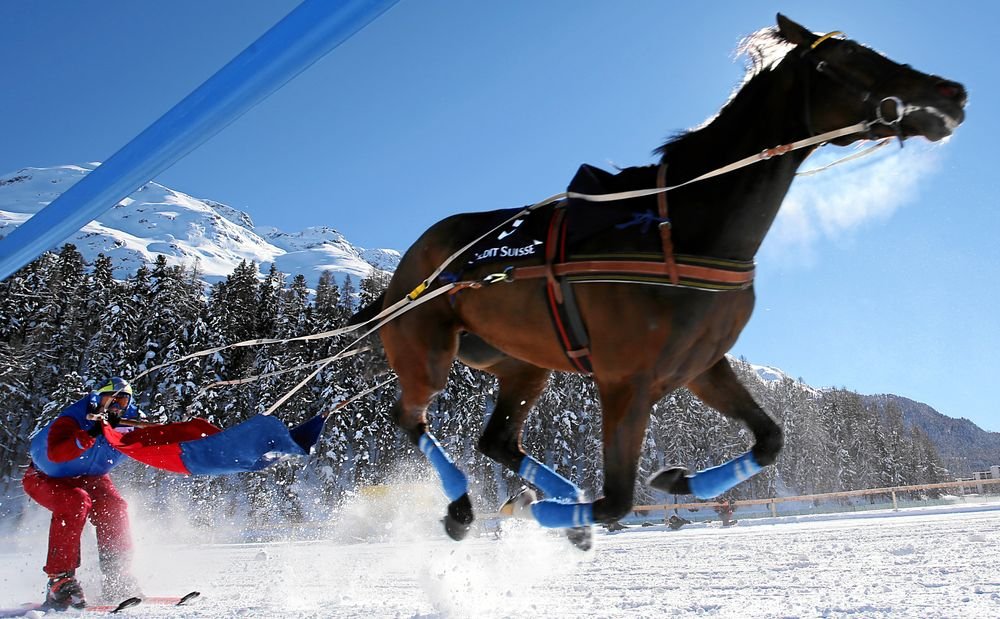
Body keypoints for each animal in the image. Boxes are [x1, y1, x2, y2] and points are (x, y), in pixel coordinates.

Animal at [356, 14, 964, 548]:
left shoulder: (700, 366)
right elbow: (616, 501)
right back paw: (466, 506)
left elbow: (769, 440)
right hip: (427, 352)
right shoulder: (625, 380)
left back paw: (542, 499)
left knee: (498, 440)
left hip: (522, 365)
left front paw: (677, 480)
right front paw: (554, 512)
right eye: (847, 56)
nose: (952, 92)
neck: (678, 226)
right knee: (408, 418)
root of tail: (409, 267)